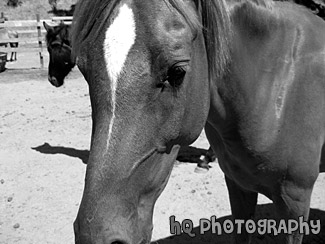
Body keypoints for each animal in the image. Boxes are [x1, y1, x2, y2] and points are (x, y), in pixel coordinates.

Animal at [71, 0, 324, 243]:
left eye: (177, 72)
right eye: (84, 69)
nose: (95, 234)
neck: (278, 82)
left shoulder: (294, 201)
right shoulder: (239, 185)